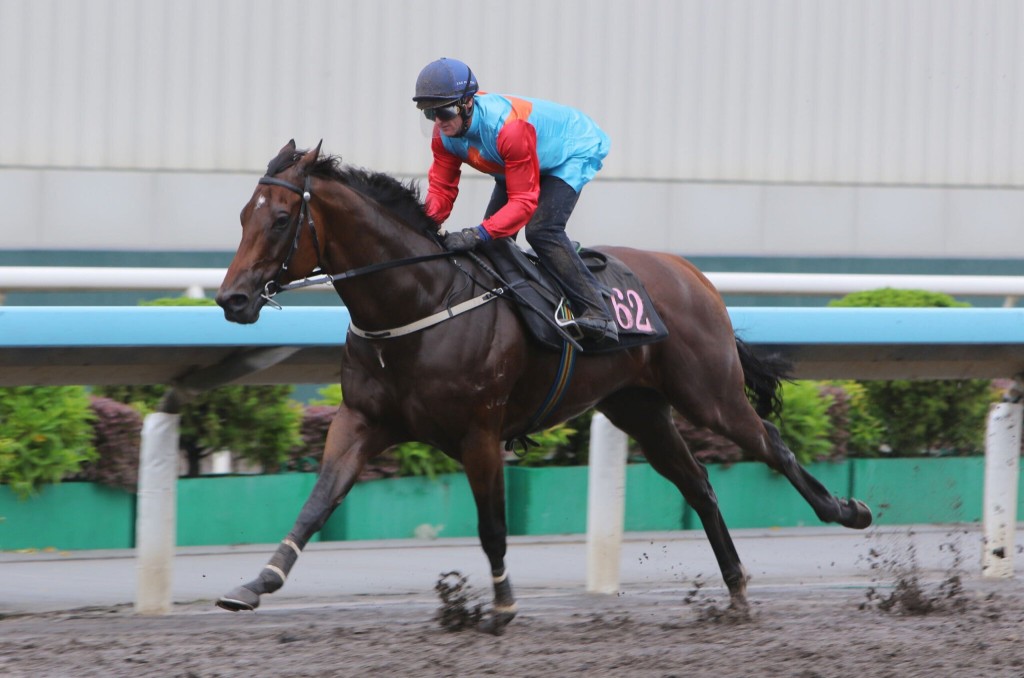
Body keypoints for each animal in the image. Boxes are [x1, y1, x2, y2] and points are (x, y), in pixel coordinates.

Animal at [214, 140, 872, 632]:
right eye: (242, 216)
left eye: (280, 219)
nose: (232, 300)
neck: (418, 301)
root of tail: (693, 274)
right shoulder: (363, 421)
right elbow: (317, 501)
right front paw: (256, 581)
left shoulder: (480, 432)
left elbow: (493, 527)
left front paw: (502, 606)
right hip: (640, 408)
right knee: (700, 484)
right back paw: (735, 588)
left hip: (710, 394)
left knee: (770, 443)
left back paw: (847, 511)